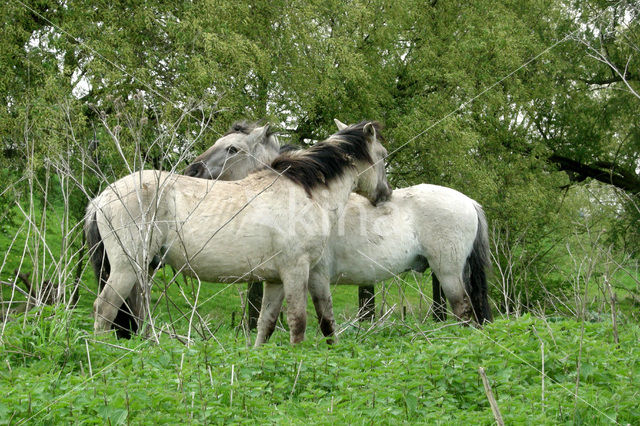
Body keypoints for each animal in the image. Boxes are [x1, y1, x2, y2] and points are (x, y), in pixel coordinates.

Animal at [85, 119, 390, 342]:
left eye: (231, 148)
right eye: (384, 156)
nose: (385, 194)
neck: (305, 192)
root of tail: (102, 197)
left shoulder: (276, 279)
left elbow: (266, 324)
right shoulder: (297, 271)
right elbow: (299, 322)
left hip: (142, 269)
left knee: (135, 310)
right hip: (127, 267)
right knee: (105, 308)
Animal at [182, 119, 492, 342]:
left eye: (232, 149)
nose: (191, 171)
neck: (309, 195)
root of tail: (469, 202)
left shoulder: (314, 276)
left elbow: (325, 322)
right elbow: (268, 325)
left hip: (448, 272)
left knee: (464, 312)